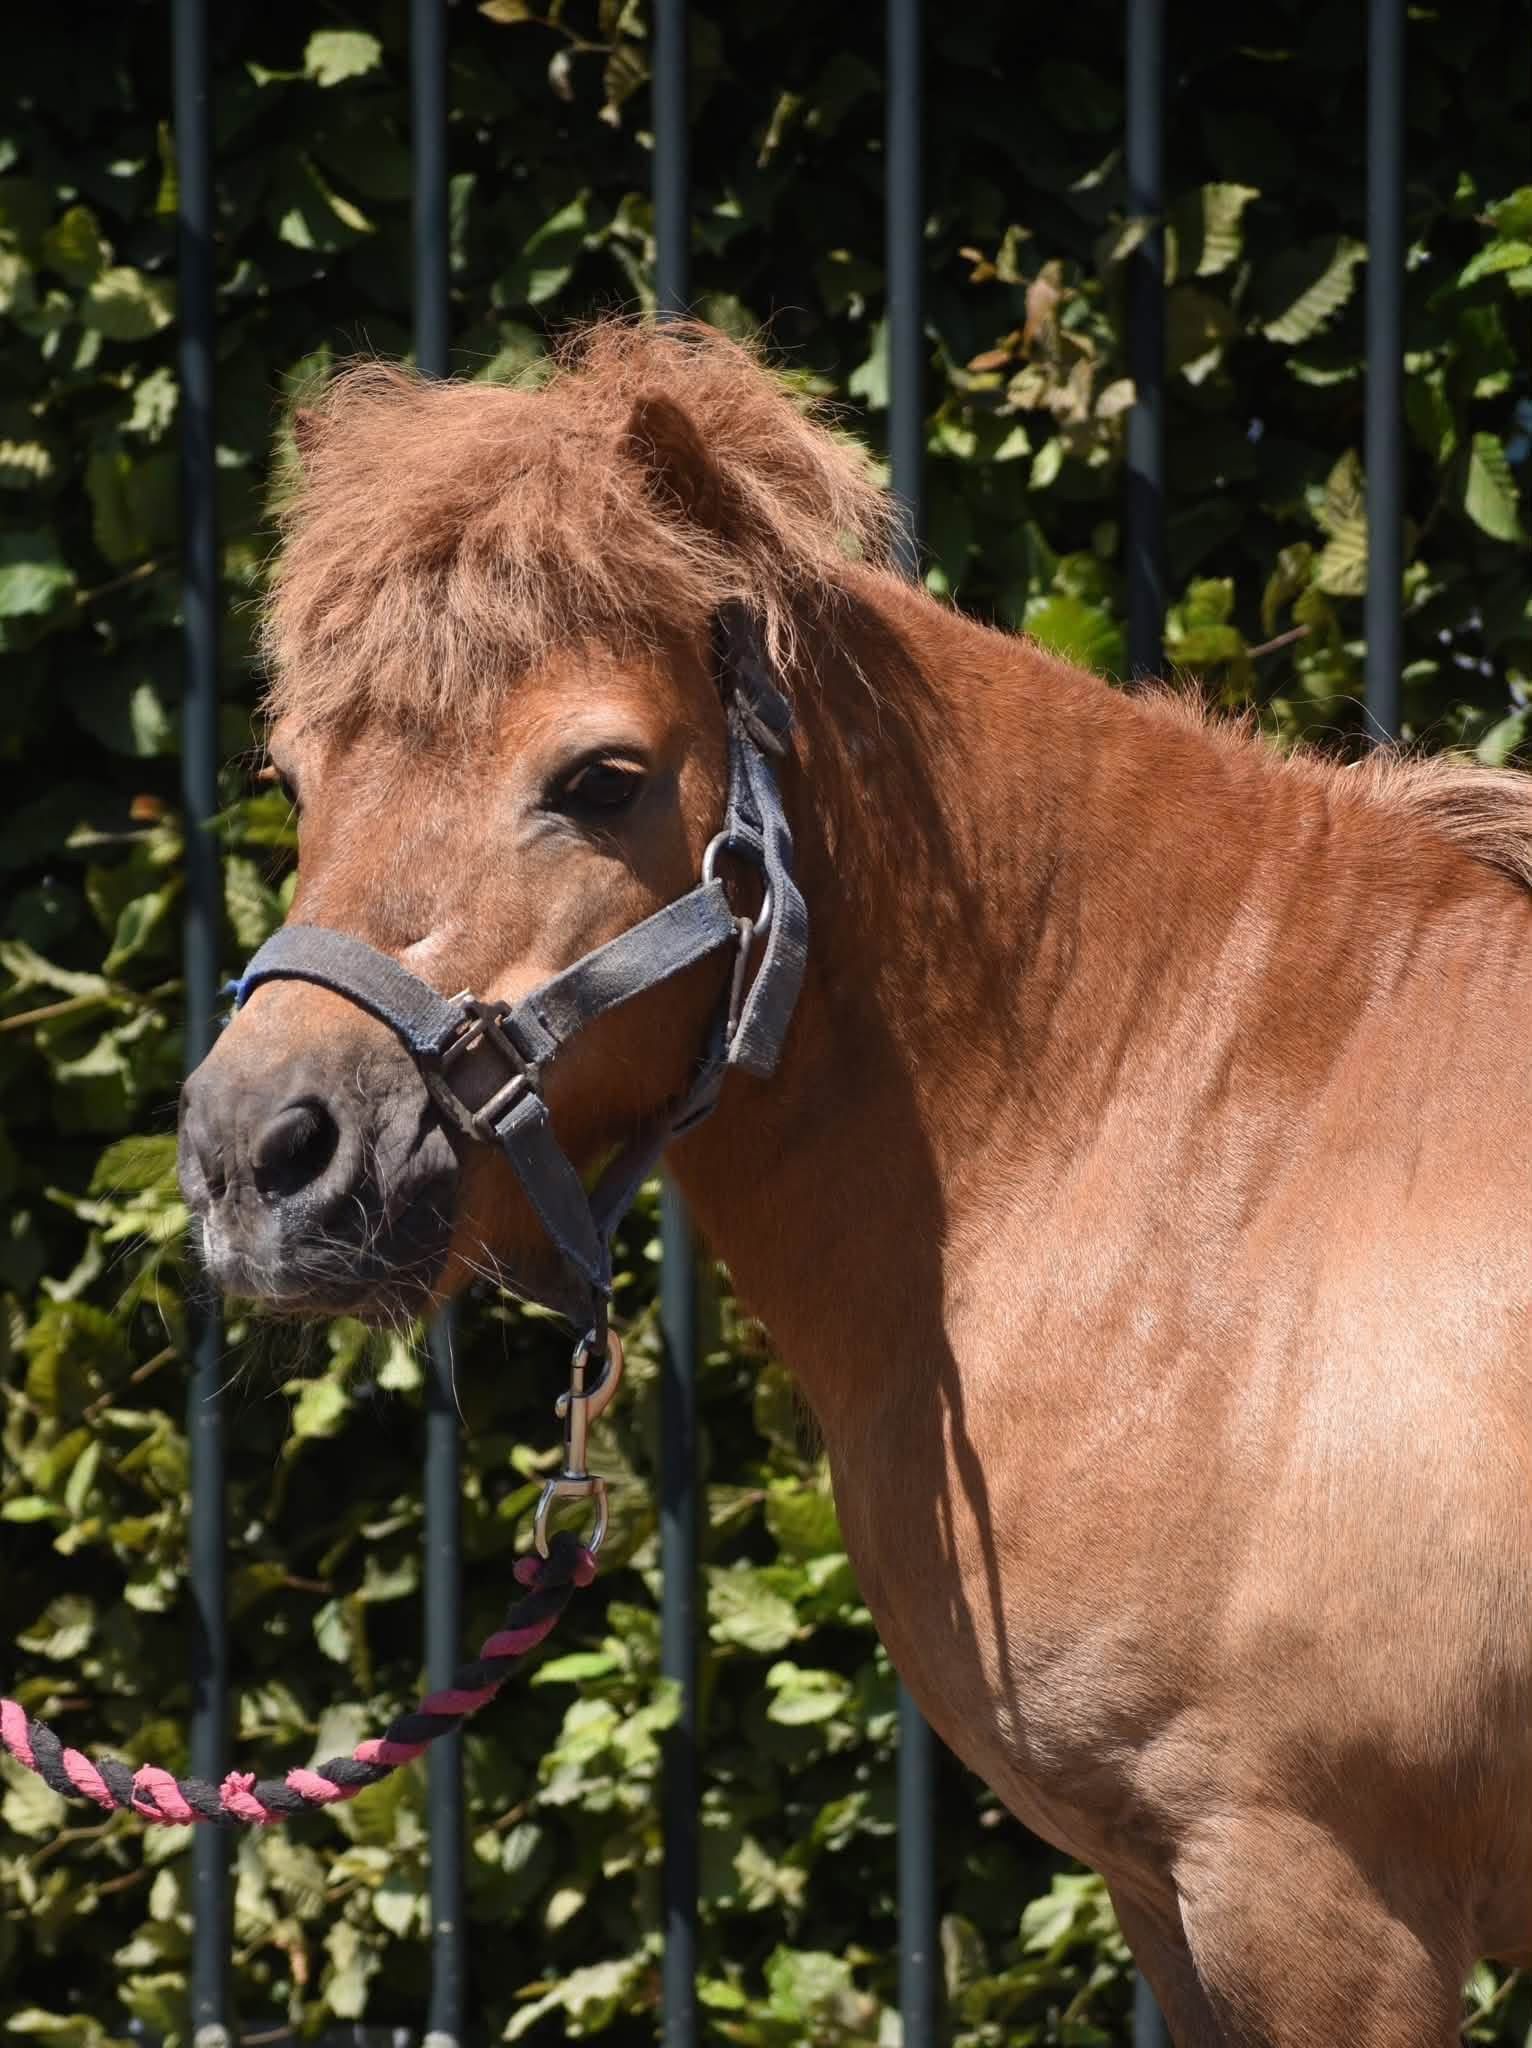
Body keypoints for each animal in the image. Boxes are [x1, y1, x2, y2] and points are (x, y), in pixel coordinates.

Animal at [178, 319, 1532, 2047]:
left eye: (602, 778)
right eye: (292, 775)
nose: (256, 1154)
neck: (1239, 1168)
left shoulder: (1321, 1904)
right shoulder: (1171, 1895)